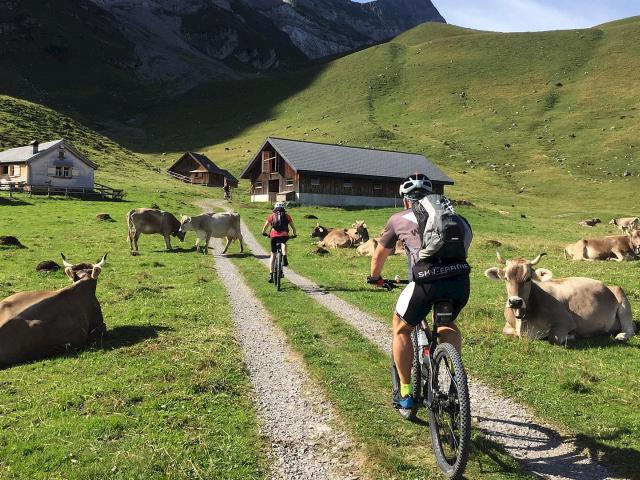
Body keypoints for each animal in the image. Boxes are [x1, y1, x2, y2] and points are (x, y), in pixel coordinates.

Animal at [484, 253, 636, 344]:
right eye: (506, 278)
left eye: (528, 279)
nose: (515, 301)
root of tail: (608, 285)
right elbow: (506, 332)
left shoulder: (566, 321)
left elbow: (554, 337)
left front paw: (572, 336)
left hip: (622, 298)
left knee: (630, 329)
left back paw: (620, 336)